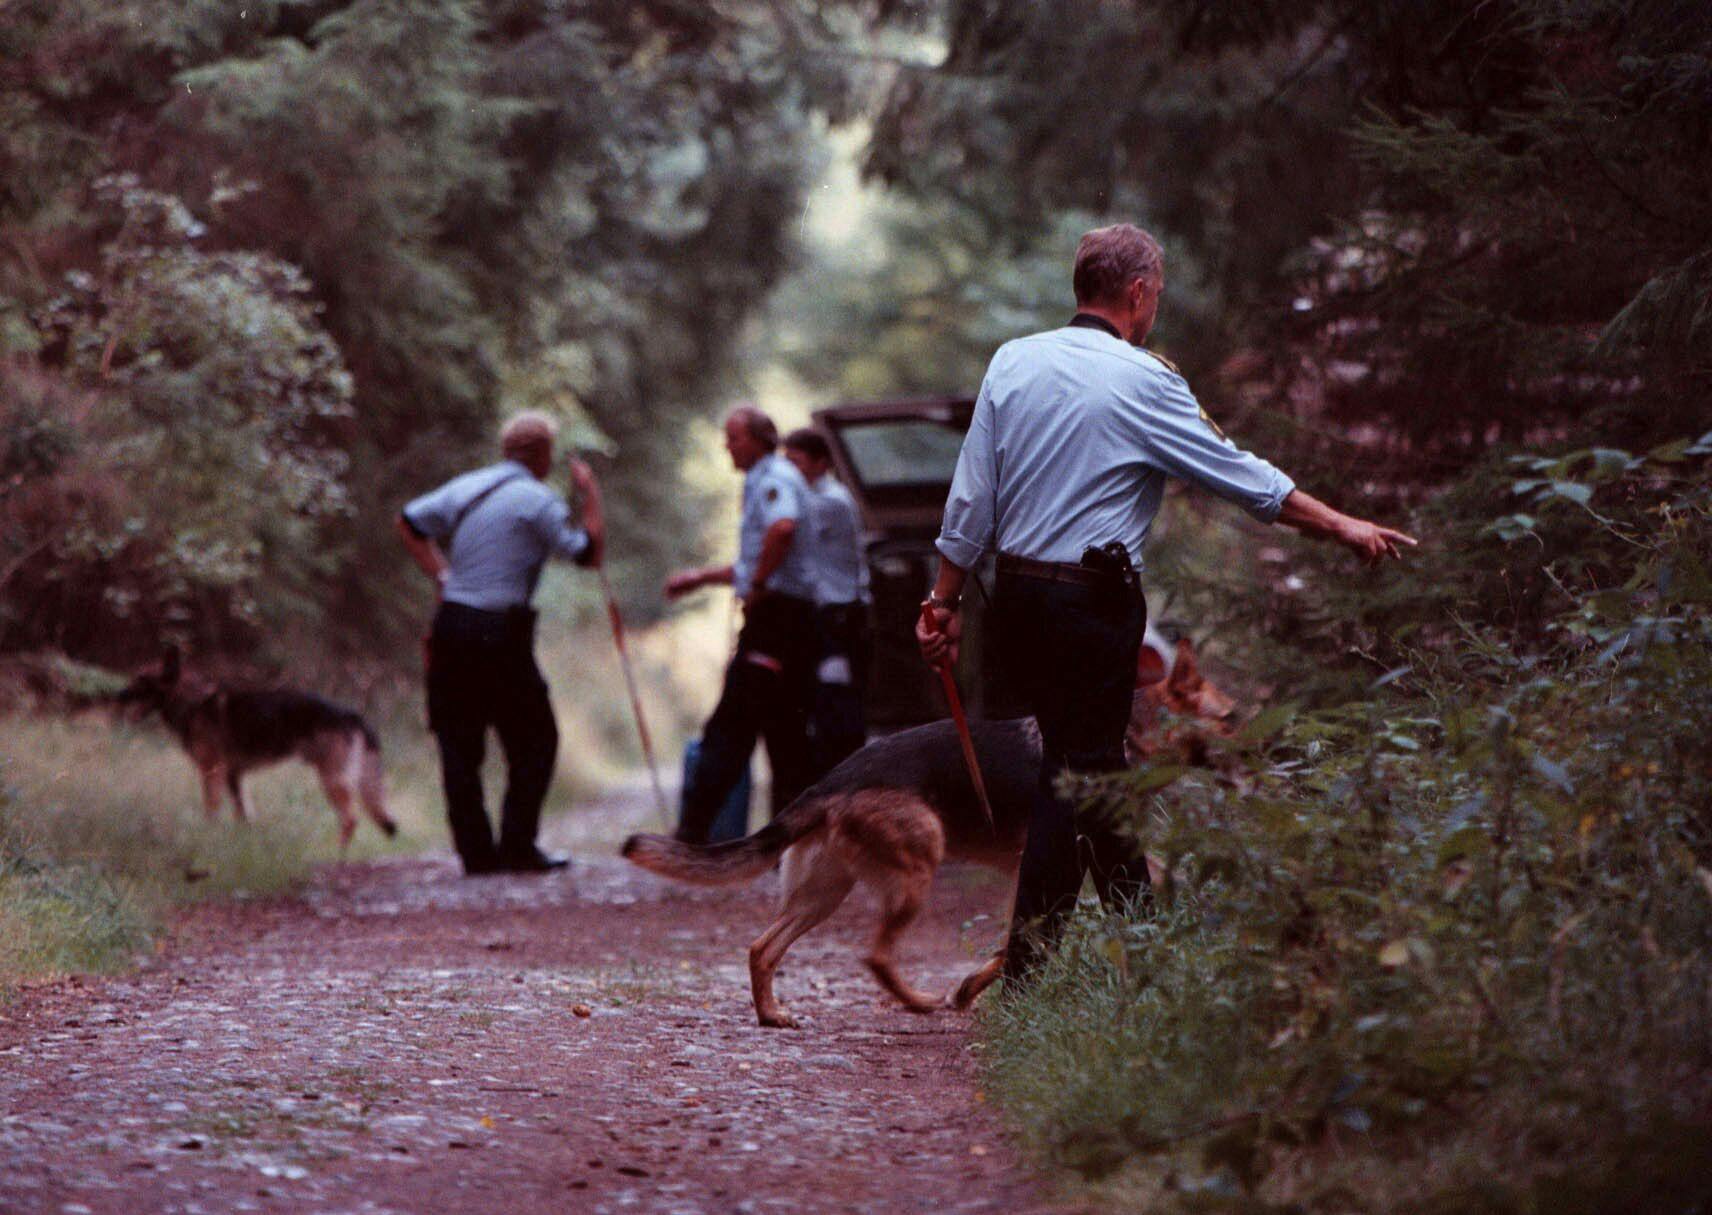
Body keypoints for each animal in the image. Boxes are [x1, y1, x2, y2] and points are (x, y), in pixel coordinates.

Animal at [120, 653, 400, 852]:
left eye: (141, 679)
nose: (118, 695)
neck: (193, 702)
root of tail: (351, 714)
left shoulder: (212, 772)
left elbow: (211, 811)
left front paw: (207, 838)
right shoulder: (234, 777)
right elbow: (244, 816)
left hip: (332, 781)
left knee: (350, 820)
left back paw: (334, 857)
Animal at [623, 633, 1239, 1033]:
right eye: (1232, 718)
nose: (1264, 752)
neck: (1135, 737)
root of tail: (832, 781)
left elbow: (1016, 941)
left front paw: (975, 987)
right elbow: (1019, 941)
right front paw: (969, 990)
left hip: (826, 892)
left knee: (761, 948)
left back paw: (773, 1015)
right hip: (915, 866)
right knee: (874, 956)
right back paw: (918, 1002)